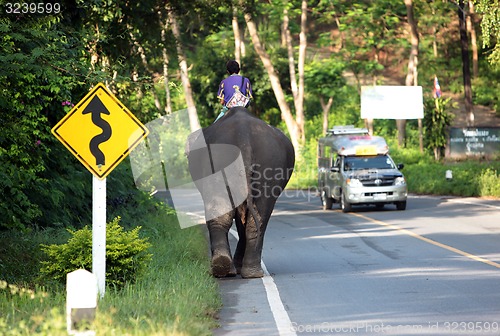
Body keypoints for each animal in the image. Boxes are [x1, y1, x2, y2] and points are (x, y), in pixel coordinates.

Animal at [186, 107, 294, 278]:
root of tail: (244, 138)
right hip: (270, 163)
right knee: (259, 215)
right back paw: (245, 271)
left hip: (220, 161)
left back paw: (227, 268)